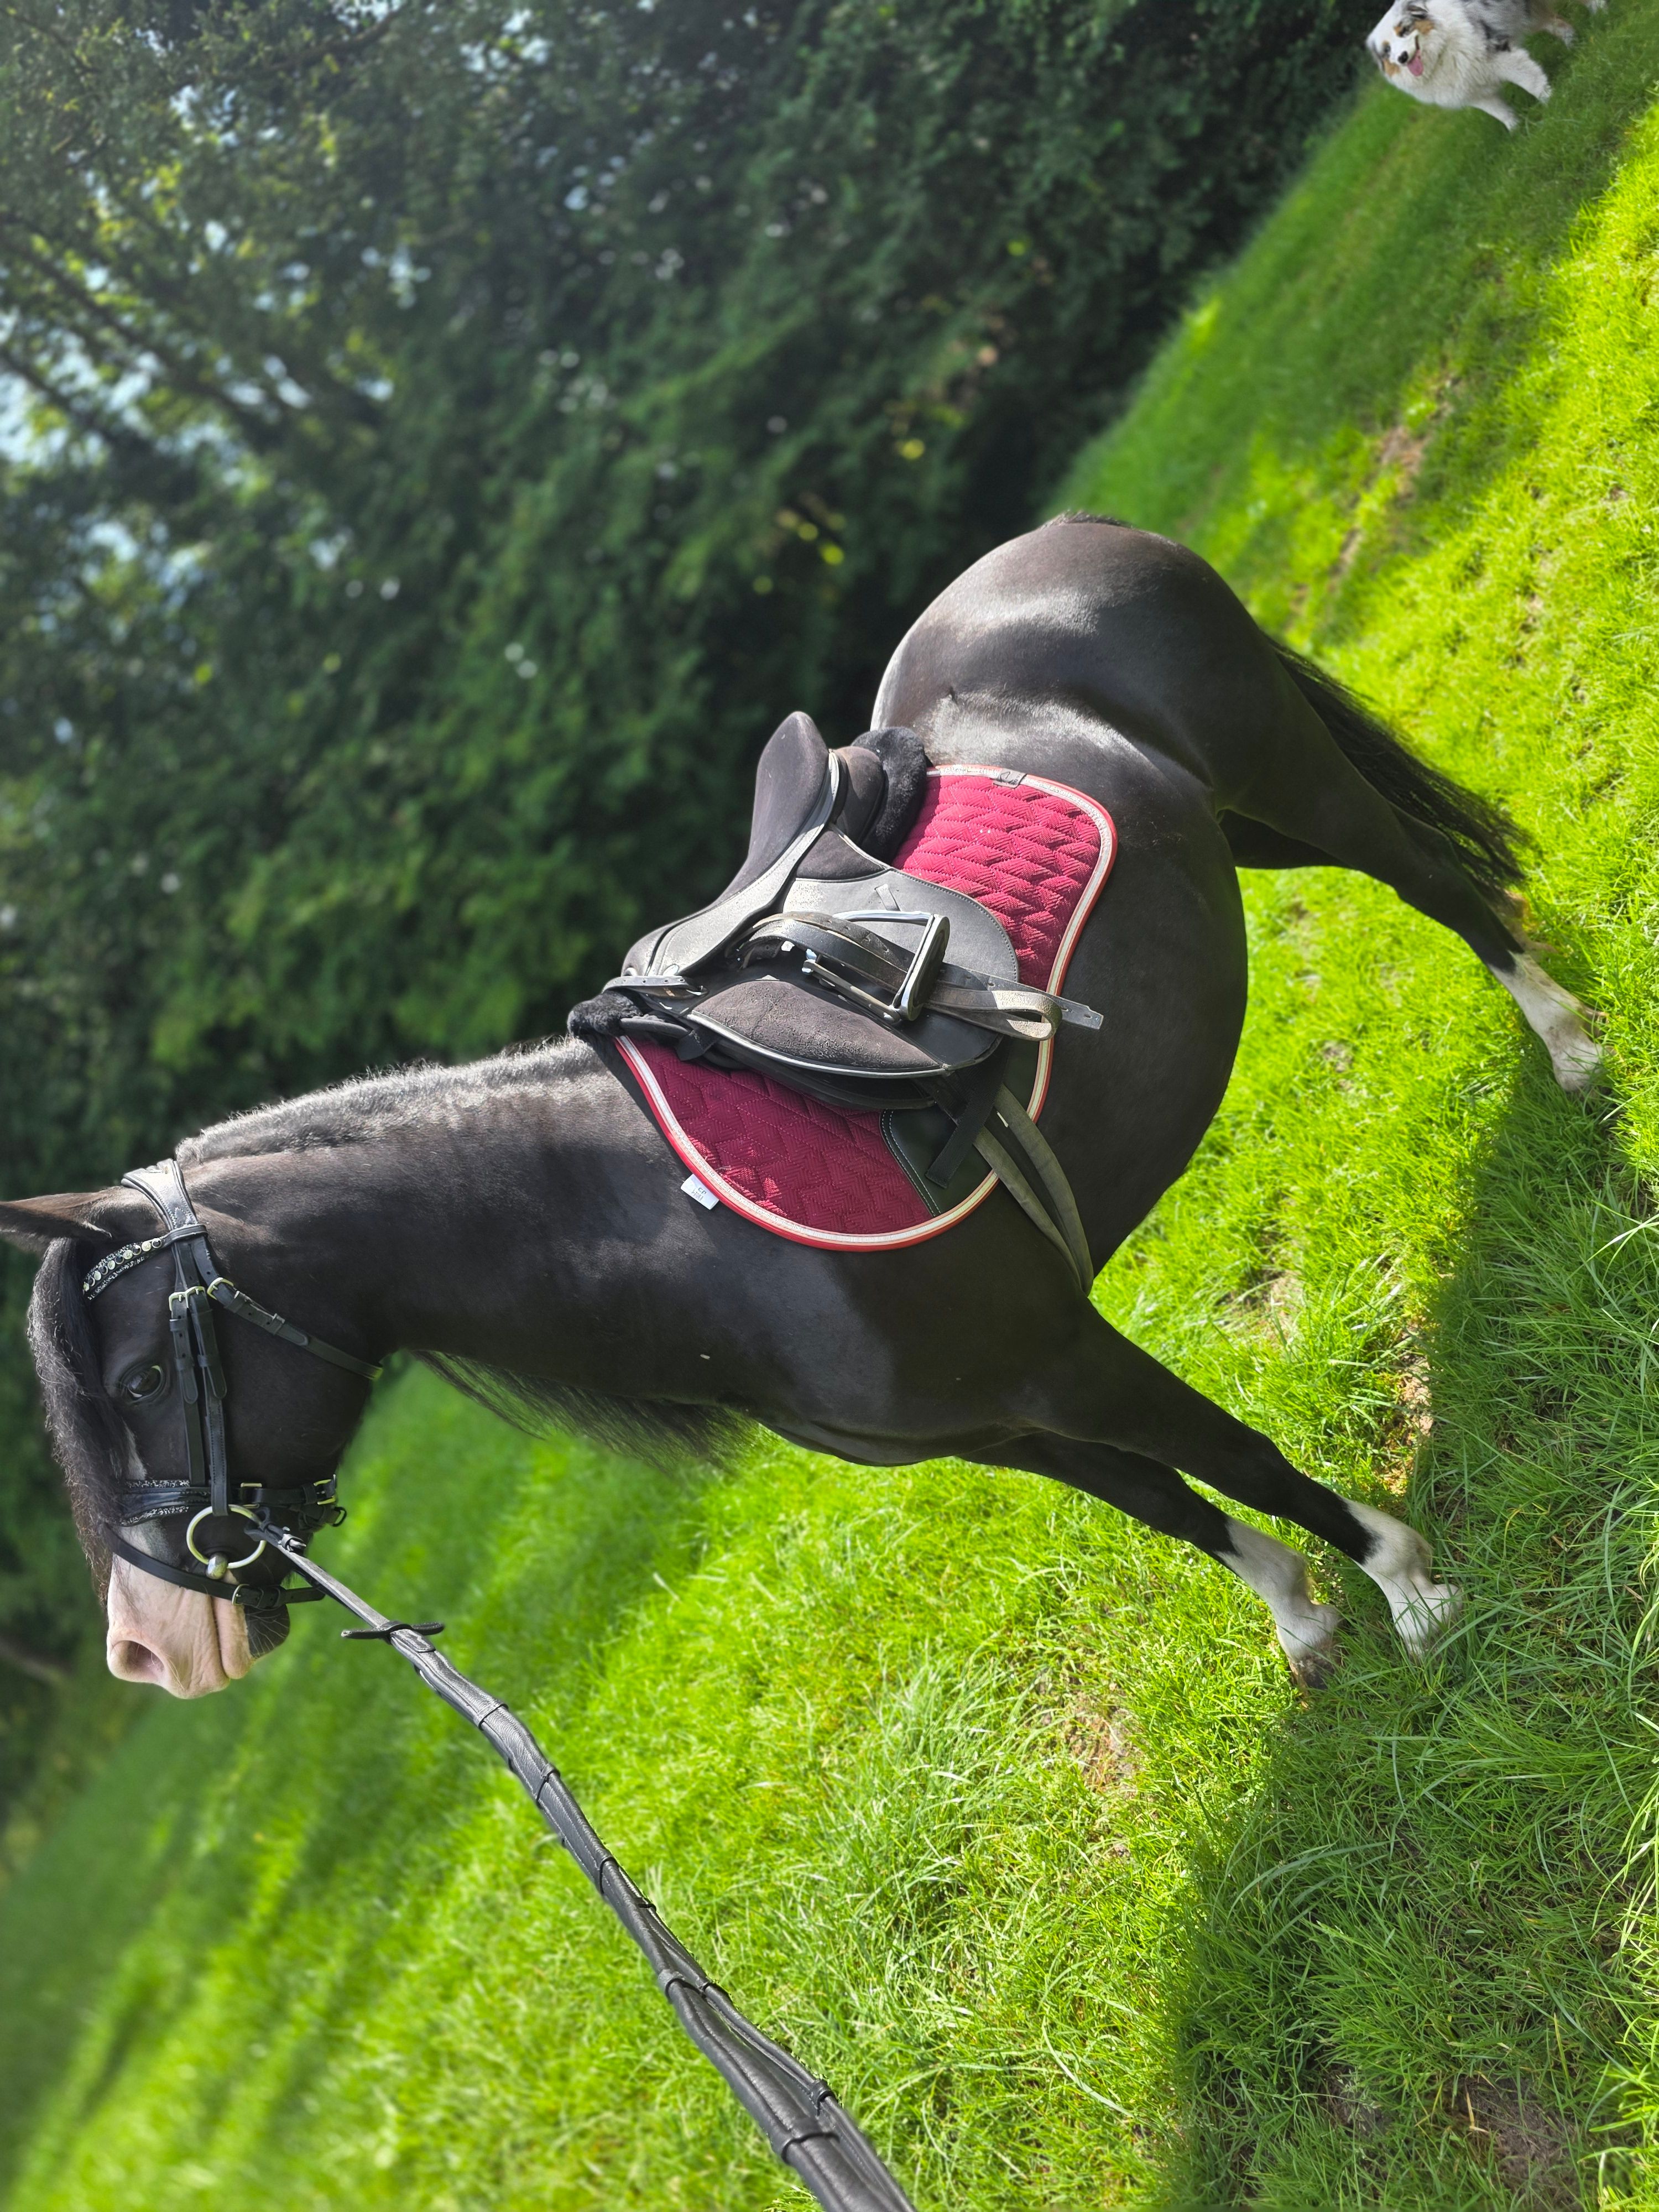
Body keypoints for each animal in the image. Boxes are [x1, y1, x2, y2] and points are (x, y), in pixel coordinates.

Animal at [0, 514, 1599, 1699]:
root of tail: (1062, 538)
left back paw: (1575, 1052)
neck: (691, 1227)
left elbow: (1237, 1457)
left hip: (1290, 781)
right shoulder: (1001, 1425)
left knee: (1439, 887)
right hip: (1241, 832)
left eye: (135, 1385)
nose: (147, 1651)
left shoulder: (1065, 1360)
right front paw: (1303, 1620)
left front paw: (1407, 1585)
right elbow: (1173, 1507)